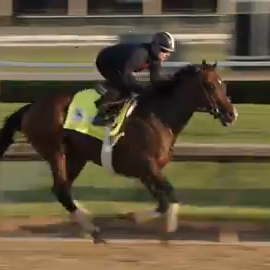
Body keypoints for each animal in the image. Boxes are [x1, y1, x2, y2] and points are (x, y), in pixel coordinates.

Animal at [0, 60, 237, 243]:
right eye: (210, 85)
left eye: (223, 84)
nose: (231, 114)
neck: (159, 116)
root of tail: (31, 107)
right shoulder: (147, 166)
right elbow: (168, 194)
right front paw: (154, 222)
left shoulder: (146, 172)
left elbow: (164, 200)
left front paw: (143, 219)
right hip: (55, 151)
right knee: (61, 189)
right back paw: (91, 227)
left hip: (76, 156)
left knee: (63, 188)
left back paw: (88, 223)